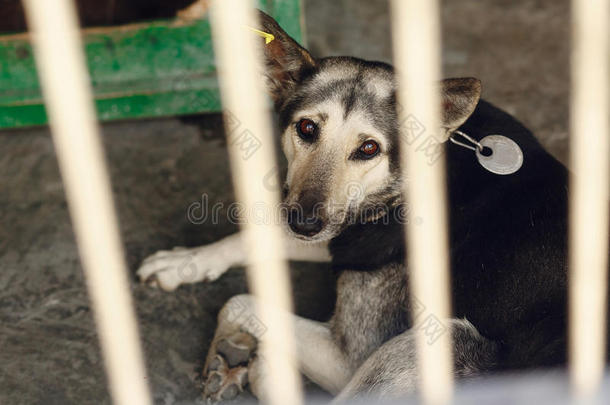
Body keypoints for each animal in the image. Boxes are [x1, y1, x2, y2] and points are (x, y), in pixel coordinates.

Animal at [138, 11, 608, 402]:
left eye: (369, 149)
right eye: (306, 128)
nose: (304, 224)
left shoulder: (345, 356)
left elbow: (238, 301)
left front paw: (244, 349)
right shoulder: (343, 232)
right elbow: (254, 236)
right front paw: (185, 262)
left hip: (438, 343)